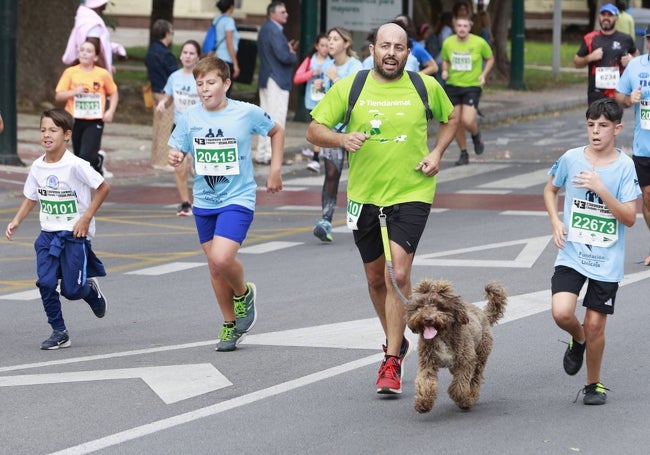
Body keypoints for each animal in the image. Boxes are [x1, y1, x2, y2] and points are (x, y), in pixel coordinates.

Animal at [404, 280, 506, 416]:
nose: (428, 319)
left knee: (476, 378)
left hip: (481, 355)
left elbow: (459, 384)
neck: (441, 336)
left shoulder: (466, 361)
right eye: (420, 306)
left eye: (440, 306)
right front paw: (423, 403)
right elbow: (426, 382)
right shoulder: (427, 362)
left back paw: (471, 396)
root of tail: (483, 313)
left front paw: (463, 399)